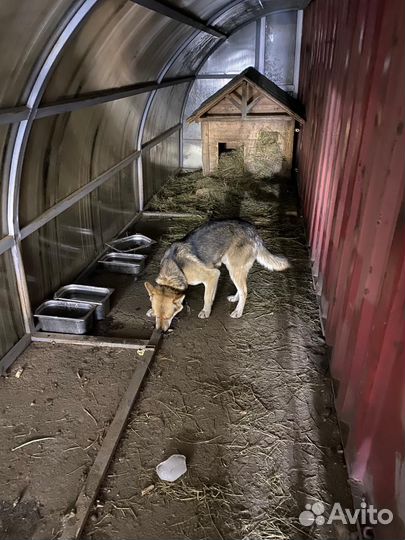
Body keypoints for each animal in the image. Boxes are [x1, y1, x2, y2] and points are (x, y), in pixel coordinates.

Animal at [144, 218, 288, 330]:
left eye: (168, 317)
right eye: (157, 316)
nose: (159, 331)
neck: (175, 267)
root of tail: (253, 230)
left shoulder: (213, 275)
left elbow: (207, 297)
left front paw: (206, 311)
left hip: (234, 269)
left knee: (244, 291)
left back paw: (238, 312)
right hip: (235, 269)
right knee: (242, 288)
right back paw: (235, 298)